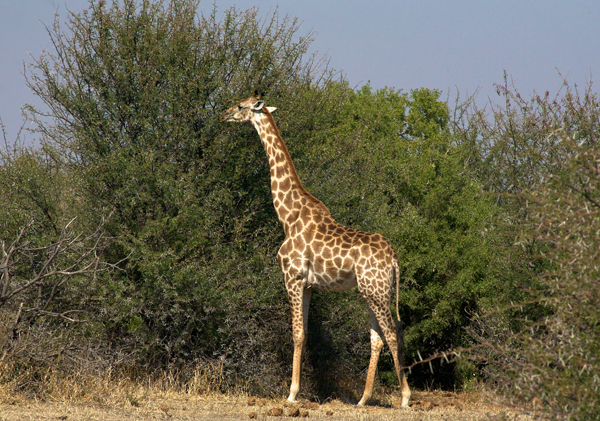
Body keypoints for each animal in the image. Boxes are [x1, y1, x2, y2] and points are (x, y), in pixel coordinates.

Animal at [221, 92, 412, 406]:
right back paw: (363, 399)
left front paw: (291, 394)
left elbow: (297, 334)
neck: (287, 216)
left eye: (240, 105)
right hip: (372, 290)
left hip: (375, 289)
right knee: (377, 337)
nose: (223, 114)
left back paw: (406, 397)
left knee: (392, 332)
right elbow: (306, 335)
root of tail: (395, 259)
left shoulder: (292, 277)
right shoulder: (309, 284)